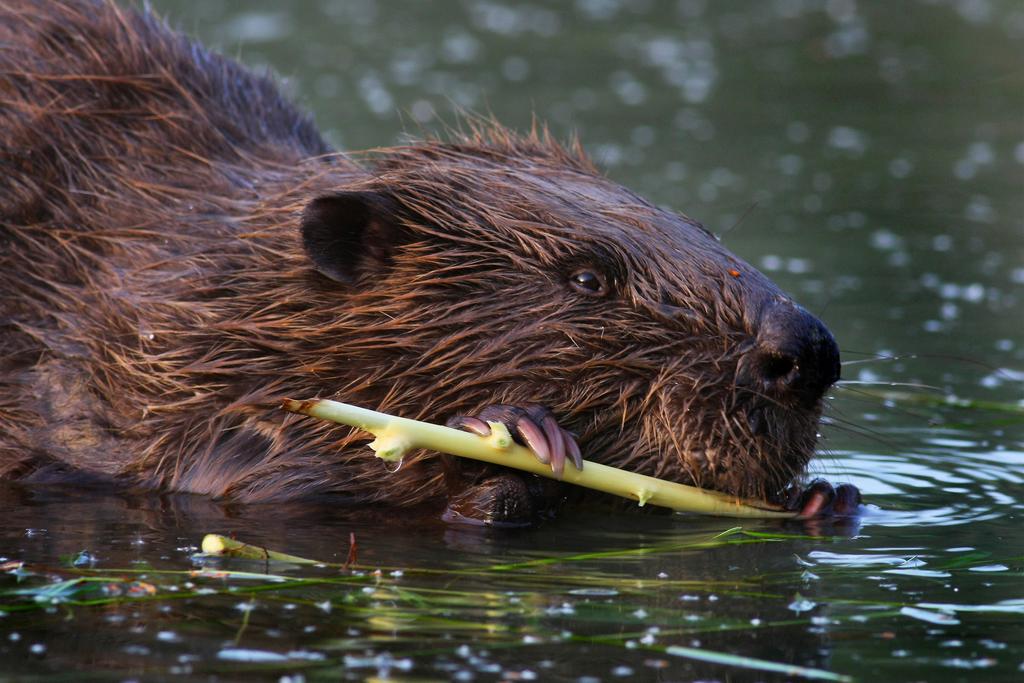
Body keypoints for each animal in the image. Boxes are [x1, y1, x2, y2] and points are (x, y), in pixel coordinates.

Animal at [2, 0, 864, 528]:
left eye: (704, 228)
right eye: (588, 277)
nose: (805, 351)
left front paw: (829, 496)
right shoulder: (107, 364)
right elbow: (225, 469)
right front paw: (514, 429)